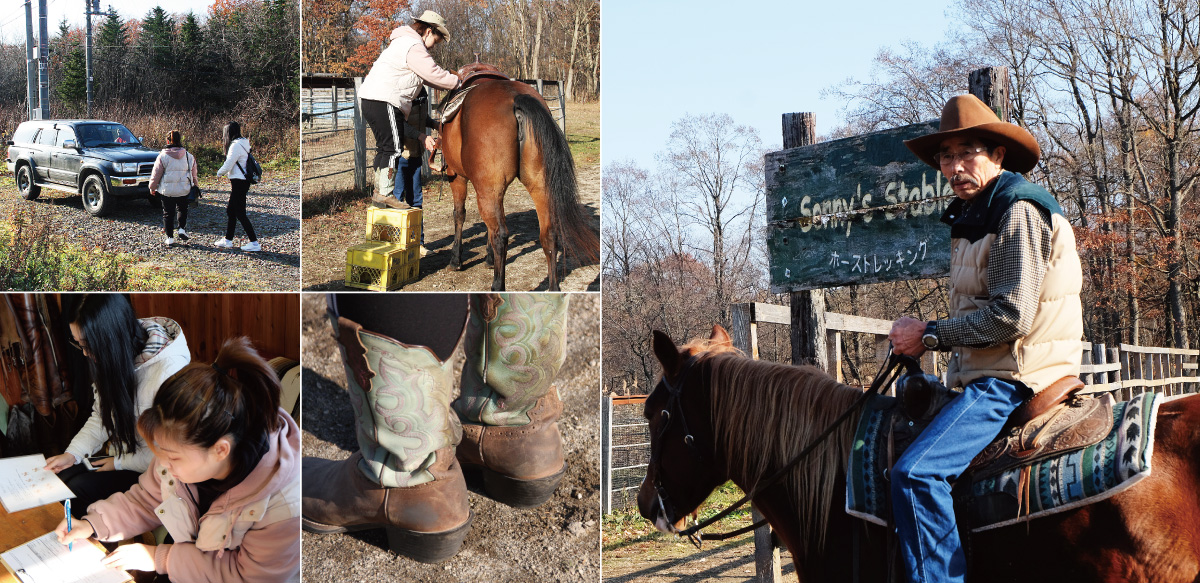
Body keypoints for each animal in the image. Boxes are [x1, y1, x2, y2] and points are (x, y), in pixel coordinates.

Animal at [438, 63, 599, 291]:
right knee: (549, 234)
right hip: (540, 186)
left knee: (500, 235)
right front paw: (488, 258)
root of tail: (516, 97)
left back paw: (497, 287)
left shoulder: (457, 176)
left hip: (486, 189)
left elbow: (459, 215)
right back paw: (553, 289)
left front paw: (455, 260)